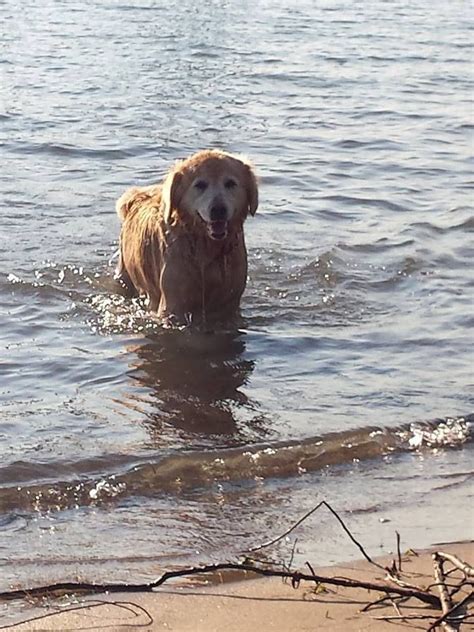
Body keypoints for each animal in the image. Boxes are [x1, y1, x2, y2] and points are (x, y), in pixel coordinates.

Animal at [116, 150, 262, 324]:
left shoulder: (229, 303)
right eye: (200, 185)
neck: (207, 250)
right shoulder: (173, 306)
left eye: (230, 183)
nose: (218, 210)